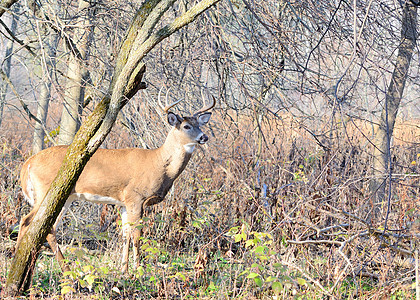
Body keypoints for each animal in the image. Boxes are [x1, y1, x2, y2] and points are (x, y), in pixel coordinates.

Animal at [15, 90, 217, 274]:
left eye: (200, 124)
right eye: (186, 126)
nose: (204, 137)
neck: (159, 164)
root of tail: (28, 164)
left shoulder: (123, 203)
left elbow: (125, 235)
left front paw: (124, 269)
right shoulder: (136, 197)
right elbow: (137, 234)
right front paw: (138, 269)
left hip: (65, 197)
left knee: (47, 227)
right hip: (45, 191)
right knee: (27, 220)